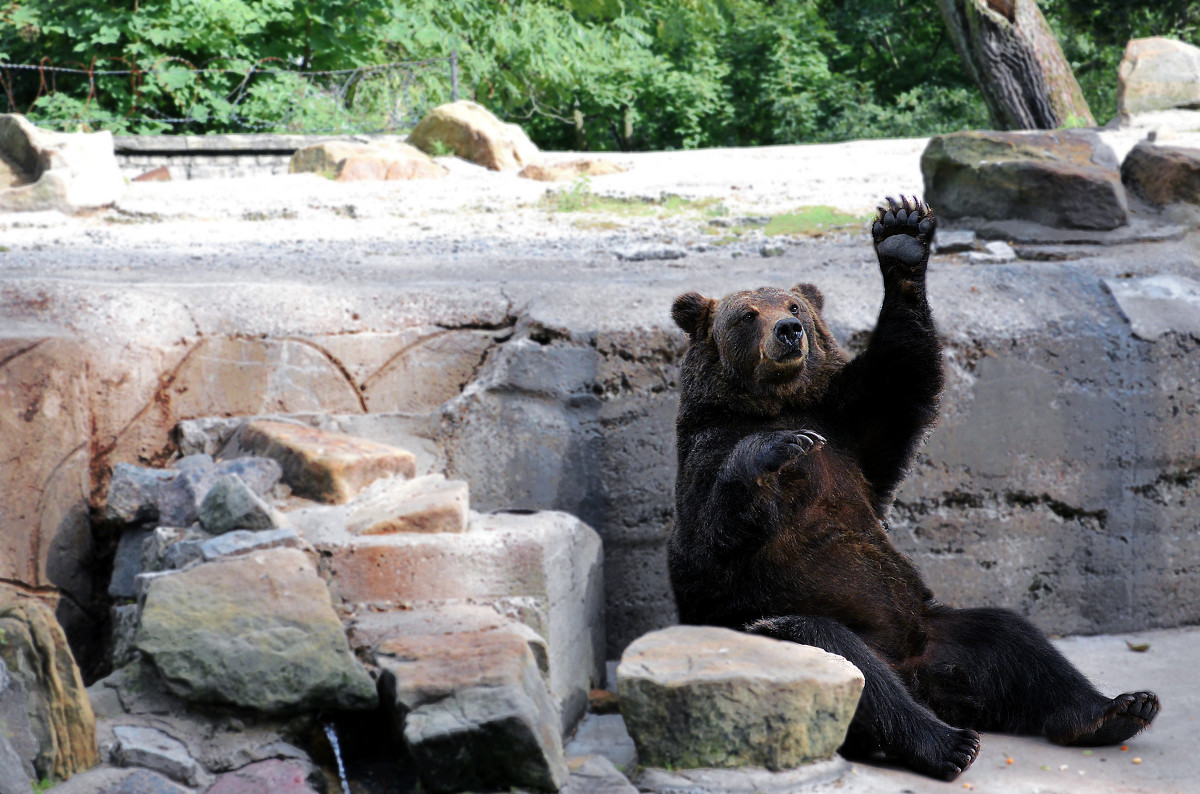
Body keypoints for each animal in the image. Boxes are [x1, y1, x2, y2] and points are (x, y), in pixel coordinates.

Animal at [672, 195, 1156, 782]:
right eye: (747, 315)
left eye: (795, 306)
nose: (788, 331)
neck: (777, 403)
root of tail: (919, 676)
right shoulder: (707, 455)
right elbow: (713, 536)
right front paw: (777, 447)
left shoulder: (850, 430)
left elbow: (901, 375)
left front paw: (901, 236)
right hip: (771, 633)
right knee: (841, 656)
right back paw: (947, 742)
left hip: (934, 631)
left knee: (1011, 638)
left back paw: (1115, 710)